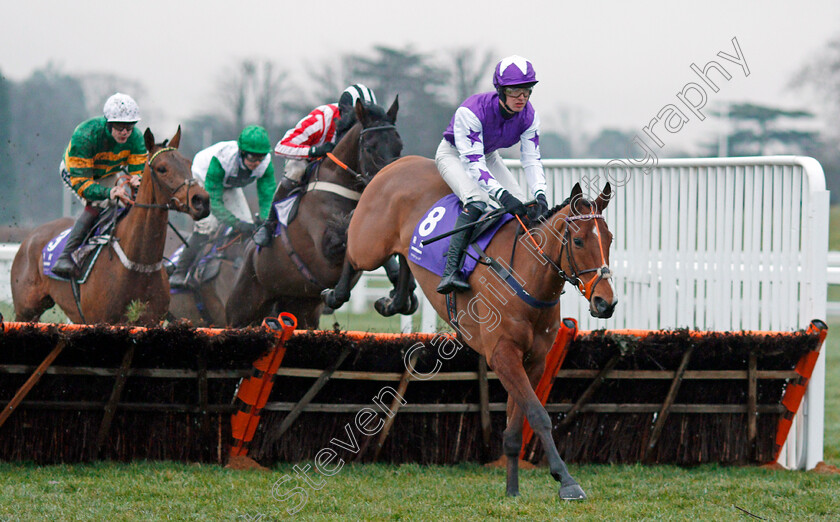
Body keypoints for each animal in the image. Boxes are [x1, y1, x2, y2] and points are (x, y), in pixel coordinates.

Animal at [10, 126, 210, 322]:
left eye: (188, 163)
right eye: (162, 169)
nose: (201, 200)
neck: (138, 264)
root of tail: (30, 237)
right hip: (26, 312)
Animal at [226, 97, 404, 324]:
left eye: (399, 146)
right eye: (370, 148)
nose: (389, 186)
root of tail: (249, 254)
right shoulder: (325, 248)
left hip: (301, 308)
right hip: (242, 309)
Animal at [322, 155, 616, 500]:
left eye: (610, 239)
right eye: (579, 241)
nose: (606, 303)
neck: (525, 277)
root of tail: (400, 161)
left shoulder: (533, 360)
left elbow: (517, 423)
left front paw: (512, 489)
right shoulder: (502, 355)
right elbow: (538, 415)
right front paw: (567, 480)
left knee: (405, 259)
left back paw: (395, 301)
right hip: (369, 243)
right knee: (352, 249)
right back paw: (335, 294)